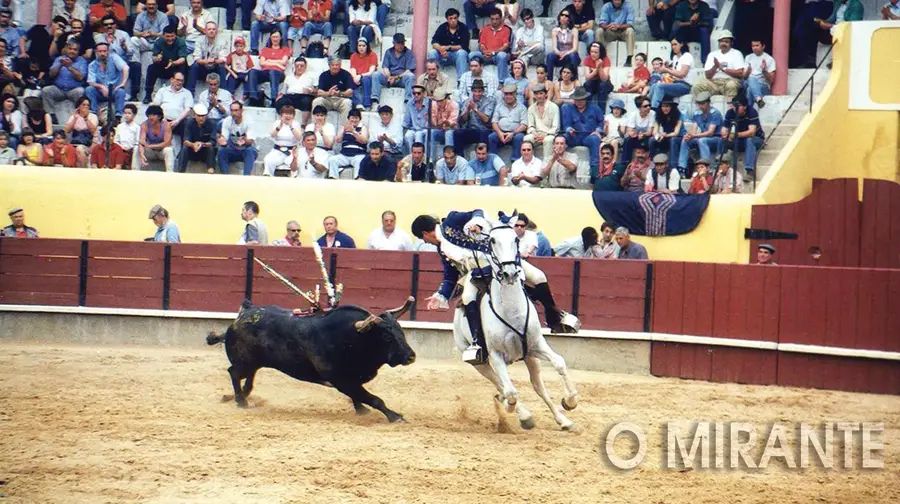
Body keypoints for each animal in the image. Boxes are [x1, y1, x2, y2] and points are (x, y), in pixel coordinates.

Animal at [206, 298, 416, 424]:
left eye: (401, 331)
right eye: (386, 337)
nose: (411, 356)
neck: (352, 338)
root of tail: (241, 316)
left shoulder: (351, 380)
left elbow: (359, 397)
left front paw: (361, 410)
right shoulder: (341, 380)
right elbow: (374, 399)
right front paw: (395, 417)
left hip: (254, 362)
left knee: (248, 379)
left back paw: (238, 397)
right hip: (244, 362)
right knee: (234, 373)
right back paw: (241, 402)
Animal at [454, 218, 580, 430]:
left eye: (516, 239)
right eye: (493, 241)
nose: (510, 273)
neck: (512, 311)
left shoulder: (536, 345)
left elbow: (559, 363)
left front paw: (570, 402)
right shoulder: (496, 355)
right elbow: (511, 392)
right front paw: (516, 411)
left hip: (530, 357)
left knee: (538, 387)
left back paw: (563, 420)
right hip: (480, 362)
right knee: (501, 384)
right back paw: (523, 414)